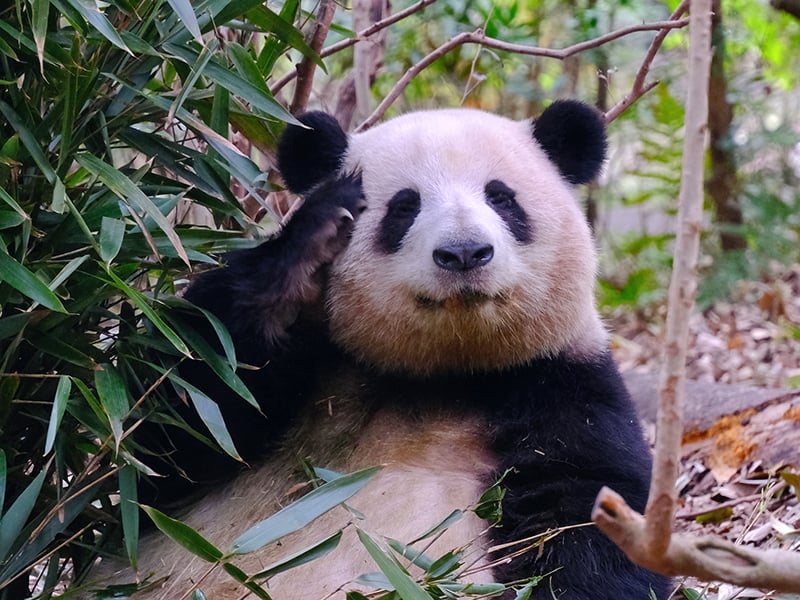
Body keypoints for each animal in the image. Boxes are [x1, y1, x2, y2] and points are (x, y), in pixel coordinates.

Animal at [93, 101, 671, 599]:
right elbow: (174, 429)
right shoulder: (306, 365)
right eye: (404, 206)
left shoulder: (560, 380)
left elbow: (582, 516)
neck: (444, 372)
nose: (464, 253)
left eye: (502, 198)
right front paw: (316, 234)